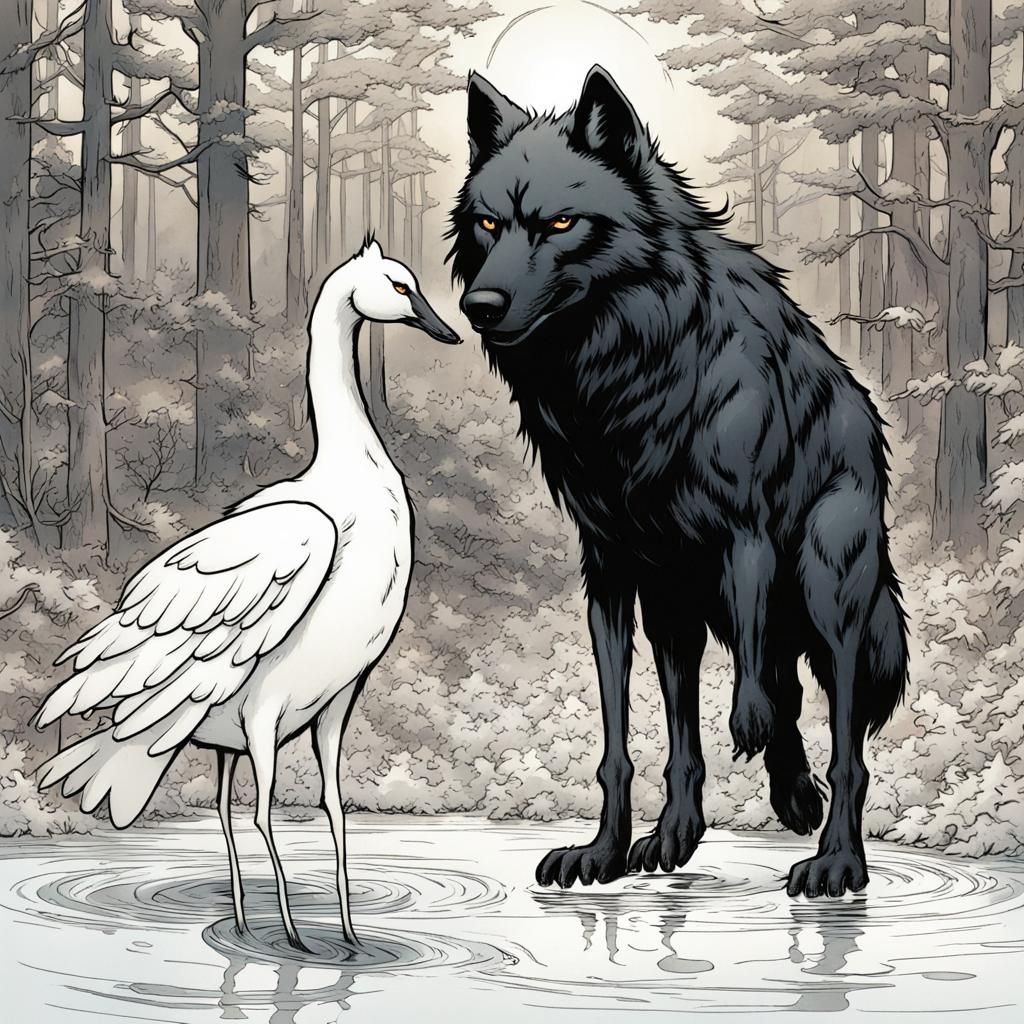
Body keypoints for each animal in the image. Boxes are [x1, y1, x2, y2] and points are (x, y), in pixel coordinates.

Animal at [447, 66, 909, 898]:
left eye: (561, 223)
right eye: (490, 224)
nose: (480, 306)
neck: (628, 372)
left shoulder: (742, 534)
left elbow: (760, 688)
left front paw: (751, 739)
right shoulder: (612, 569)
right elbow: (623, 742)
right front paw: (603, 850)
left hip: (828, 586)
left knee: (842, 743)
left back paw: (835, 859)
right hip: (678, 608)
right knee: (734, 718)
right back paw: (701, 827)